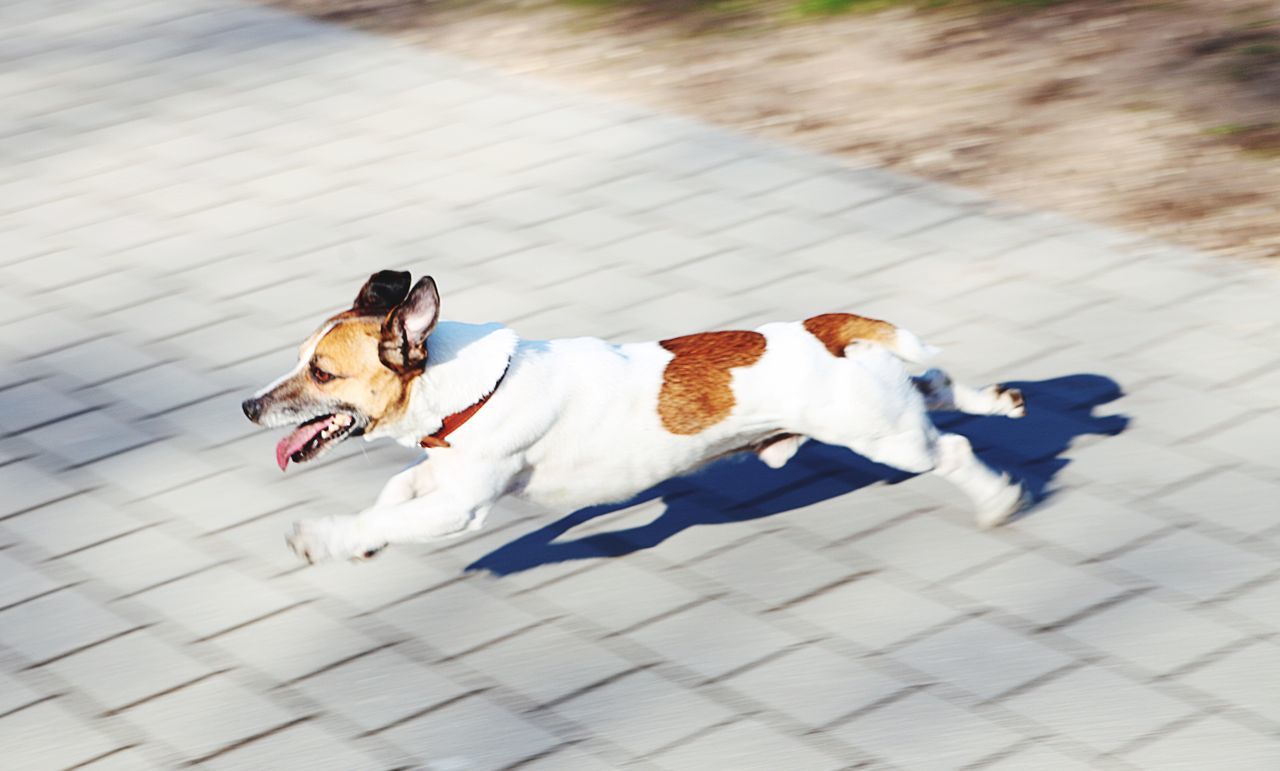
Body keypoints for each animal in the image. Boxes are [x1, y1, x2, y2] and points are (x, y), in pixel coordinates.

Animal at [241, 272, 1029, 560]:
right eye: (302, 359)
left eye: (321, 372)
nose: (248, 405)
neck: (475, 383)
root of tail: (824, 329)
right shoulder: (443, 477)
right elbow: (393, 492)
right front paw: (365, 534)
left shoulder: (460, 506)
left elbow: (386, 513)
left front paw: (328, 538)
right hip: (890, 405)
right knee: (940, 385)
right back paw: (997, 399)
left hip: (885, 438)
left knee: (952, 450)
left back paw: (999, 501)